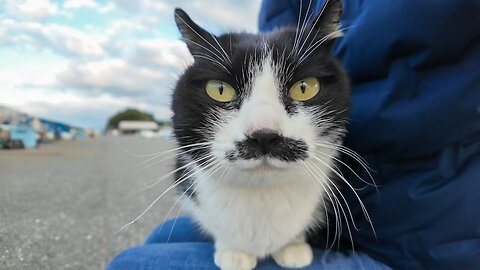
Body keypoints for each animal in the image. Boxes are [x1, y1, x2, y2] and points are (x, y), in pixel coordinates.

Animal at [172, 1, 348, 268]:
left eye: (304, 88)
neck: (262, 191)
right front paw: (233, 251)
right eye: (220, 90)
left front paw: (292, 246)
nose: (263, 134)